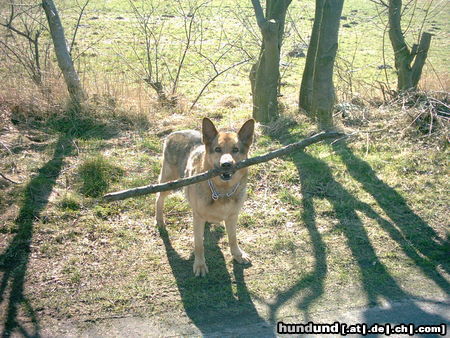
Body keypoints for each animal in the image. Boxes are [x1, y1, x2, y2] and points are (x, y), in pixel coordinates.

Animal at [154, 117, 253, 276]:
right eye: (218, 149)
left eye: (235, 150)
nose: (226, 164)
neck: (222, 190)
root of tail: (174, 133)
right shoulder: (198, 218)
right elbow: (198, 244)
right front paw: (200, 265)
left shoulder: (232, 217)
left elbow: (233, 238)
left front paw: (238, 255)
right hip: (169, 182)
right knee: (158, 198)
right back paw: (160, 221)